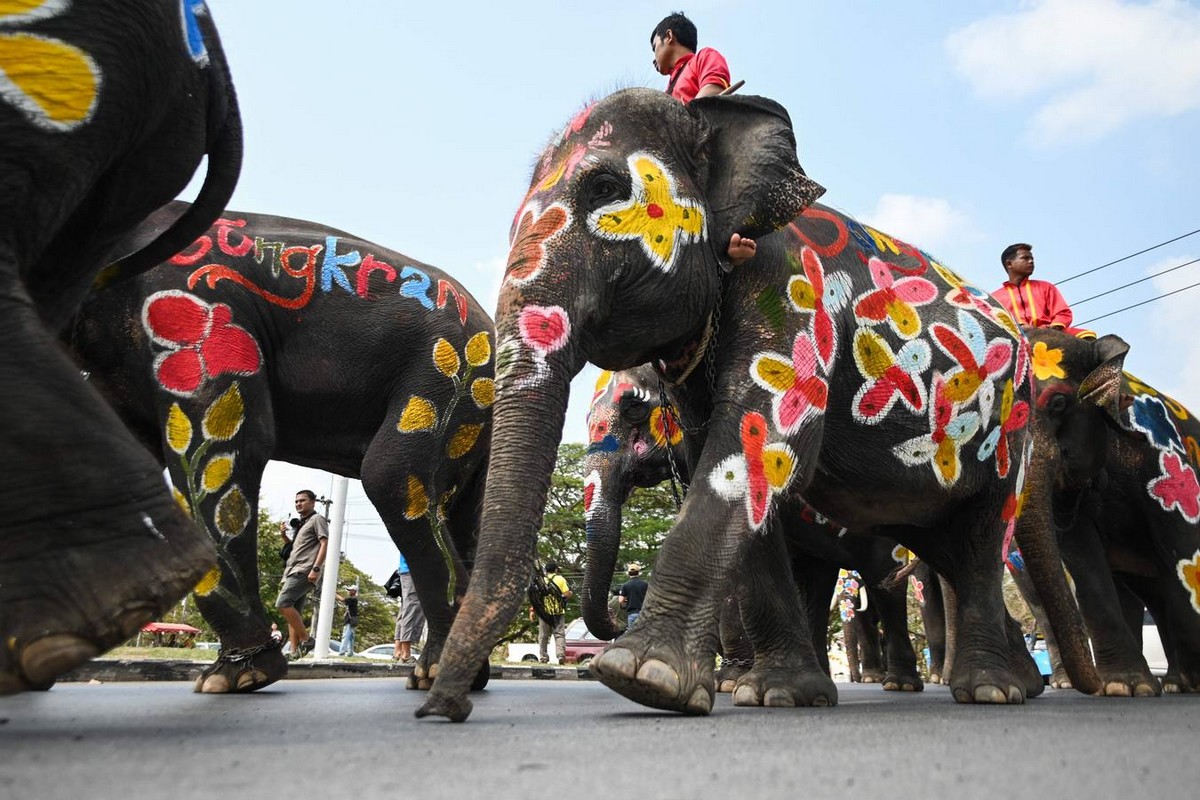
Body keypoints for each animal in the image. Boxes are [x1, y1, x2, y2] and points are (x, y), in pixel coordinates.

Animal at [70, 201, 494, 695]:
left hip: (450, 373)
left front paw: (235, 678)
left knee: (391, 476)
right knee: (460, 511)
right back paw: (449, 675)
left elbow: (237, 444)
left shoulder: (193, 310)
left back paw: (441, 675)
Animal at [578, 367, 916, 690]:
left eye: (634, 407)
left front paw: (730, 681)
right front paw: (728, 681)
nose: (620, 619)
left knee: (885, 584)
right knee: (820, 580)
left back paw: (897, 683)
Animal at [1012, 328, 1200, 695]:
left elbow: (1183, 541)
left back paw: (1179, 684)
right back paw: (1171, 684)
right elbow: (1083, 558)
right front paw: (1123, 686)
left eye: (1058, 403)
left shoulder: (1164, 453)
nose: (1091, 684)